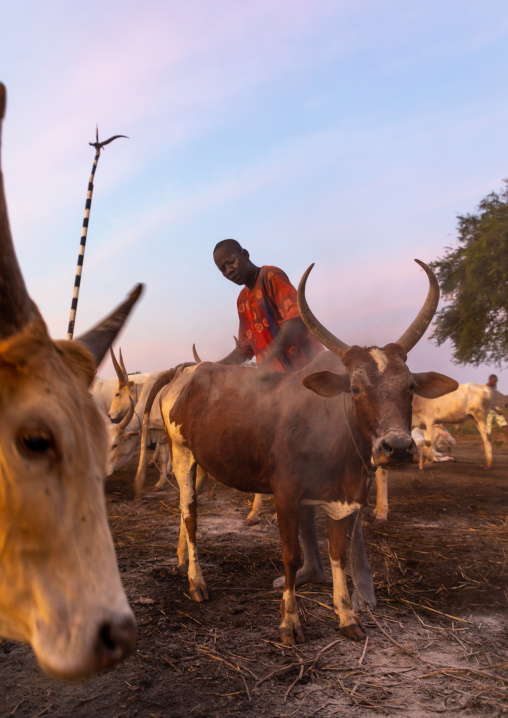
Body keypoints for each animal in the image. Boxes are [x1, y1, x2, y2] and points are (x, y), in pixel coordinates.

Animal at [135, 258, 458, 645]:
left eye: (410, 386)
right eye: (355, 388)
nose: (396, 447)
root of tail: (188, 370)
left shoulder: (343, 499)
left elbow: (338, 555)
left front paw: (347, 615)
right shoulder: (286, 494)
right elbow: (290, 555)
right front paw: (289, 620)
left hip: (199, 460)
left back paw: (182, 560)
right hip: (182, 455)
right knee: (190, 515)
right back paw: (196, 582)